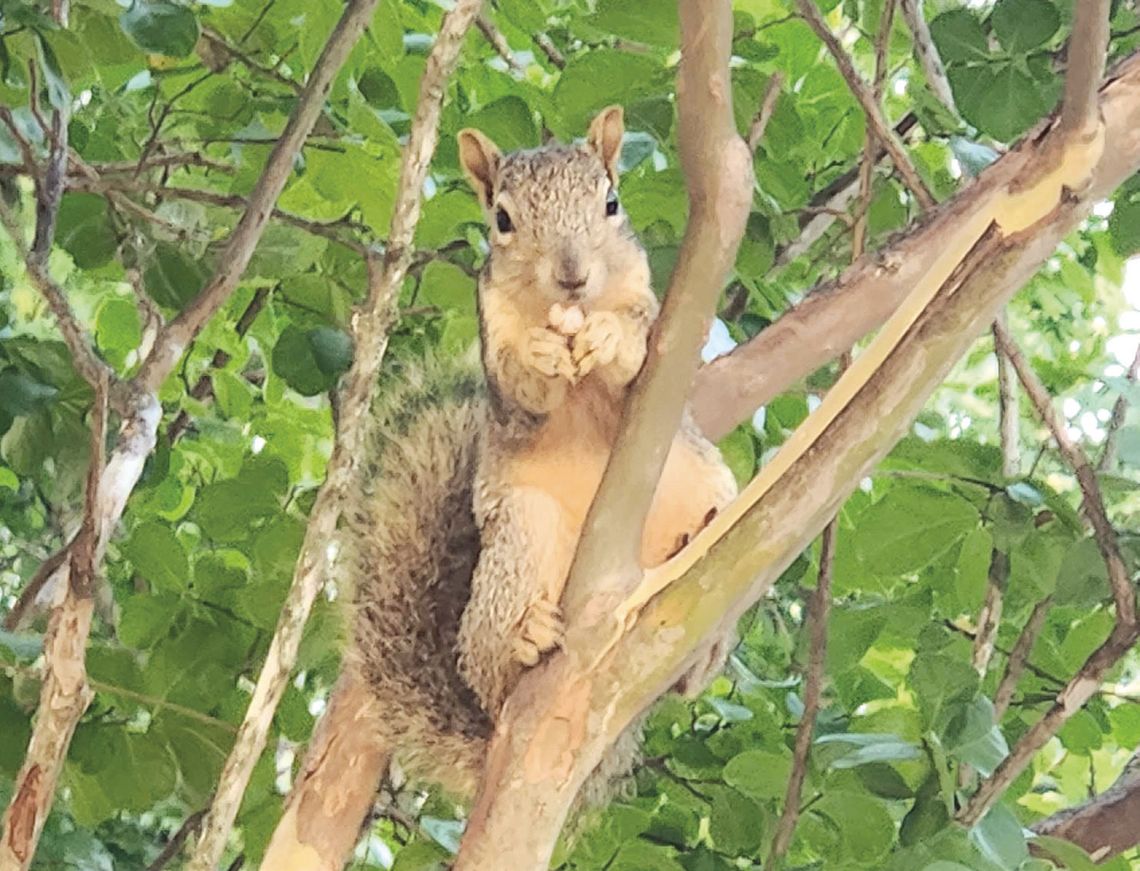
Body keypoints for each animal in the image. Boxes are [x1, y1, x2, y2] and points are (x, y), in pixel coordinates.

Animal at [344, 106, 738, 811]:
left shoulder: (653, 321)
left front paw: (610, 338)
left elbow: (640, 351)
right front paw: (539, 357)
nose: (572, 273)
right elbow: (517, 390)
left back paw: (701, 635)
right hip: (523, 529)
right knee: (490, 661)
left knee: (692, 670)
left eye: (611, 202)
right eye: (501, 219)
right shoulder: (494, 344)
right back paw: (520, 643)